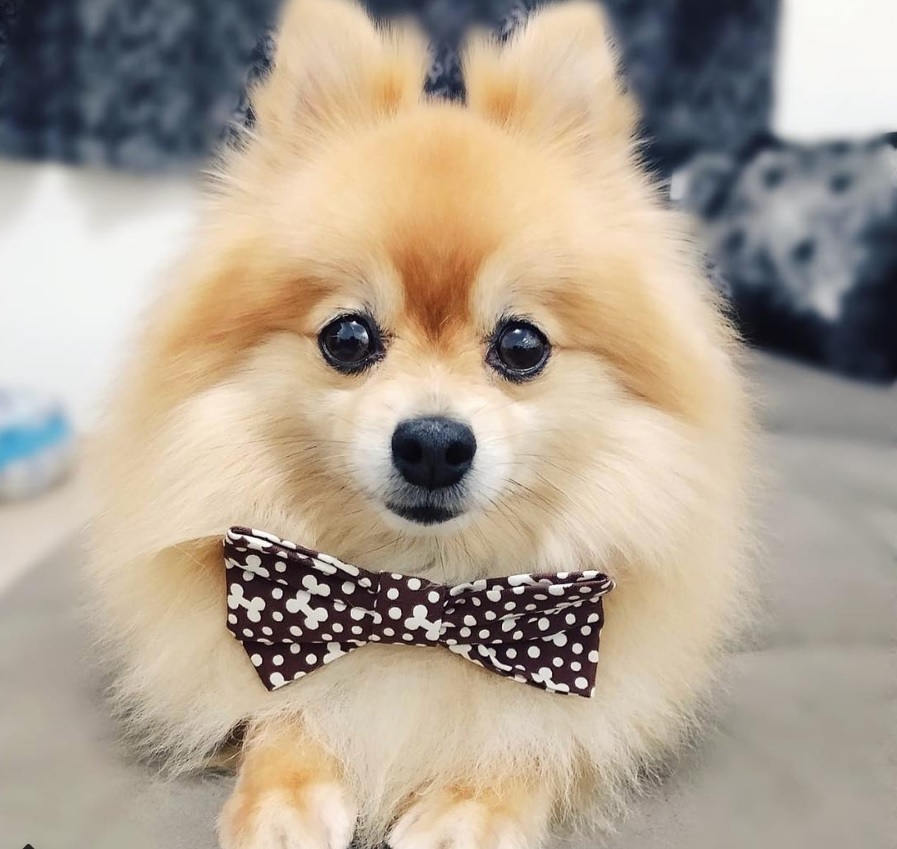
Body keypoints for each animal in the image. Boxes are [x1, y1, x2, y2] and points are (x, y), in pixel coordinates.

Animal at [87, 3, 752, 844]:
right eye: (347, 337)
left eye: (521, 345)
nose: (433, 443)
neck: (421, 587)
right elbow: (284, 713)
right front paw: (284, 792)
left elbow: (536, 735)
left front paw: (473, 806)